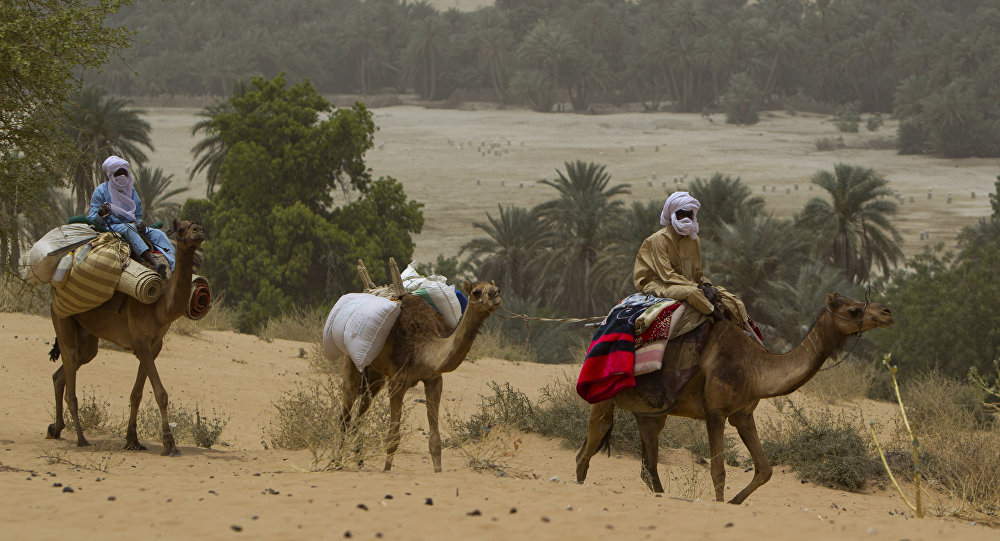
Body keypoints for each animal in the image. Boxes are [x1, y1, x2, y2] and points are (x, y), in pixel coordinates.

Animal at [45, 217, 205, 454]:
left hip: (87, 335)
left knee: (64, 371)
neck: (160, 307)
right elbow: (161, 394)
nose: (198, 231)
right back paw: (81, 439)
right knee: (70, 370)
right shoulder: (140, 341)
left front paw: (133, 440)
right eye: (182, 229)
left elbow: (137, 394)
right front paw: (169, 443)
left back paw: (55, 429)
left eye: (197, 225)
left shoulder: (154, 345)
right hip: (61, 315)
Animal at [342, 280, 500, 470]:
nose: (495, 295)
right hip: (352, 358)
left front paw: (438, 472)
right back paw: (337, 461)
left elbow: (435, 442)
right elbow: (393, 438)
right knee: (347, 405)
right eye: (476, 292)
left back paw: (358, 460)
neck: (423, 348)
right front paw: (386, 471)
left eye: (498, 289)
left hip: (375, 372)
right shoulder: (397, 382)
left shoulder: (434, 380)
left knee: (364, 405)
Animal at [576, 294, 896, 504]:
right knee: (590, 445)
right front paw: (722, 505)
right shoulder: (715, 411)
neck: (755, 367)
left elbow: (765, 470)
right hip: (604, 393)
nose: (887, 312)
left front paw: (733, 503)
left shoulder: (743, 414)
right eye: (854, 309)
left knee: (648, 465)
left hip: (653, 410)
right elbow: (718, 471)